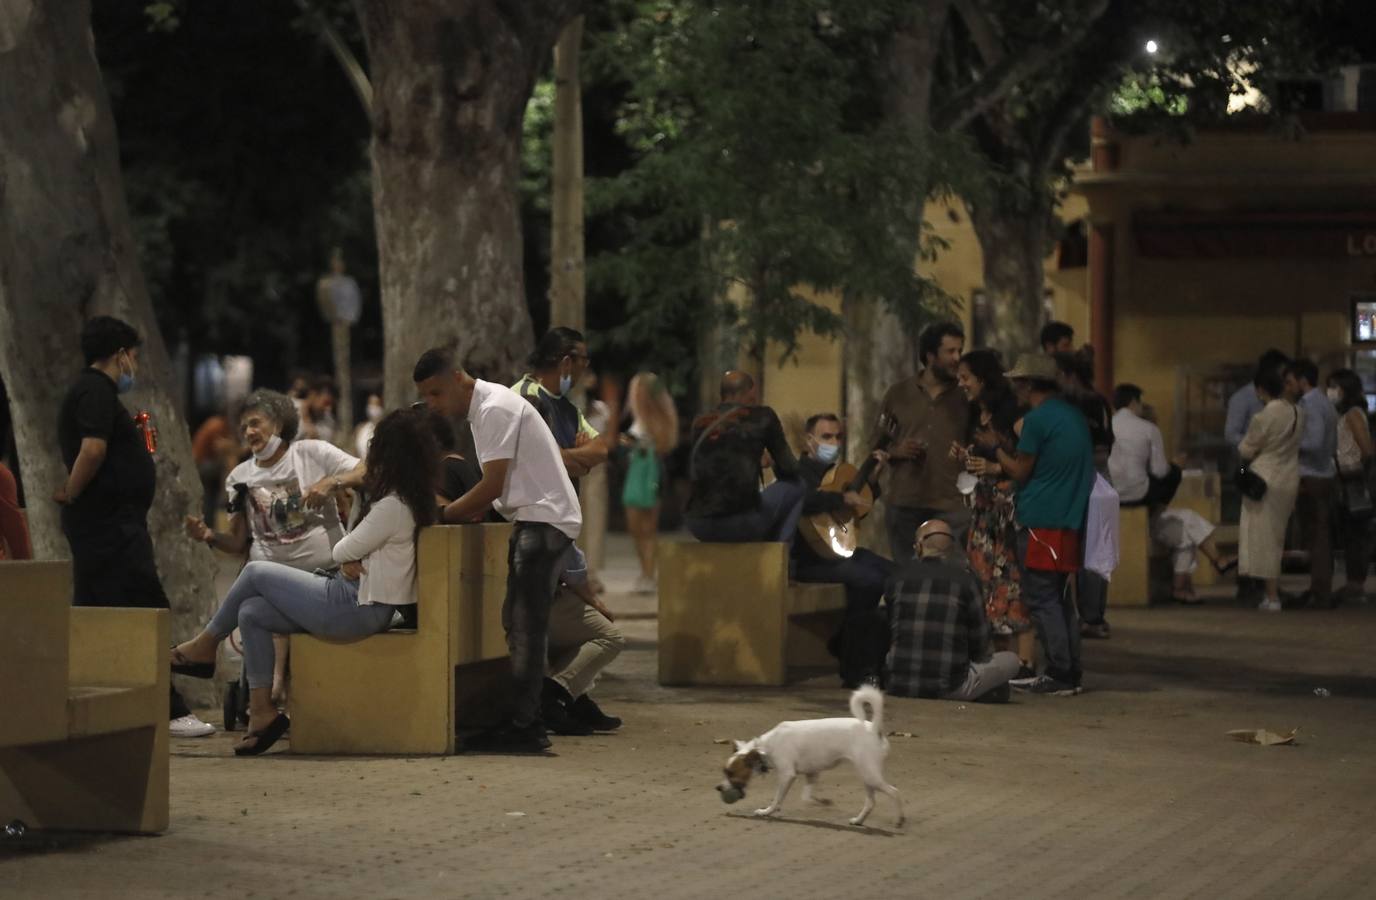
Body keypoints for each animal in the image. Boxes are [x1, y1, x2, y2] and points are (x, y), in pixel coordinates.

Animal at [721, 688, 902, 831]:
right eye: (725, 772)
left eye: (732, 773)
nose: (718, 788)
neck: (765, 746)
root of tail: (874, 729)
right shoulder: (812, 774)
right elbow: (807, 797)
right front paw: (822, 802)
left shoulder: (787, 775)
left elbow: (778, 798)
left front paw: (767, 811)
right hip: (866, 775)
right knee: (871, 802)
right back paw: (858, 820)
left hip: (870, 775)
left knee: (894, 792)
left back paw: (899, 820)